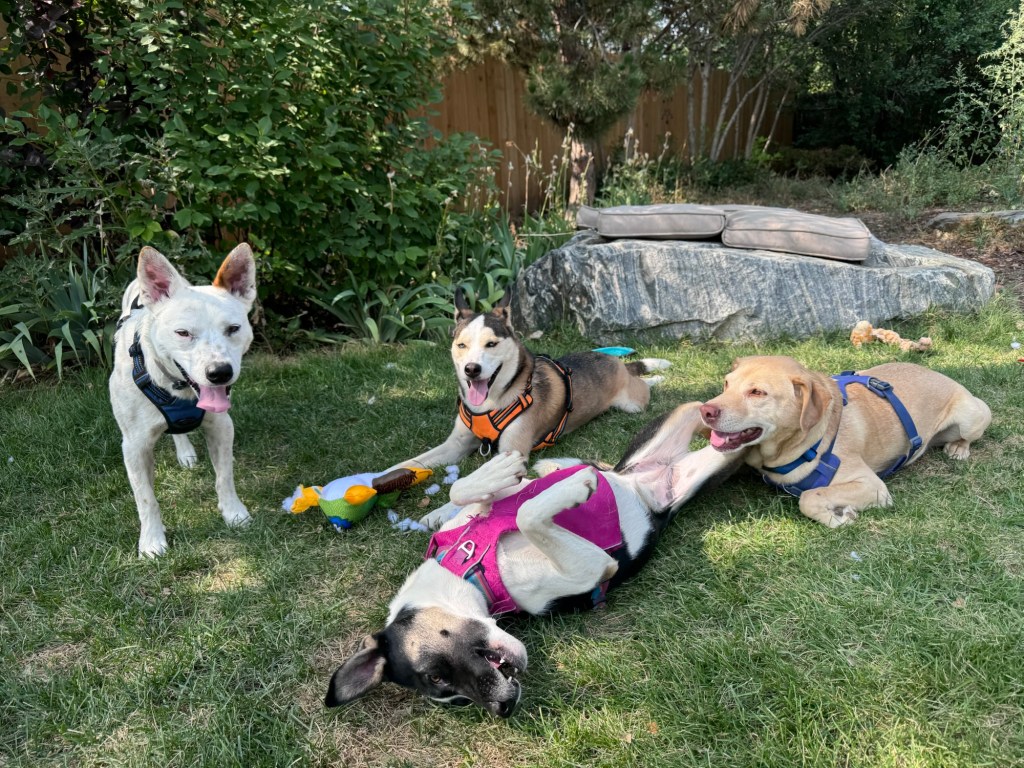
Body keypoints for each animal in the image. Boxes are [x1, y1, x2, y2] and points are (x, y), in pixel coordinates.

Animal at [109, 244, 257, 557]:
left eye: (233, 329)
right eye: (183, 333)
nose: (219, 372)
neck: (178, 389)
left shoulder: (222, 426)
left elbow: (224, 476)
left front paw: (234, 513)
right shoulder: (134, 446)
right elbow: (145, 498)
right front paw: (152, 540)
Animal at [325, 402, 744, 717]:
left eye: (437, 676)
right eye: (452, 695)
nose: (503, 708)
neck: (468, 564)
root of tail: (643, 483)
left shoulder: (494, 504)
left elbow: (473, 492)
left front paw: (500, 473)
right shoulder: (594, 566)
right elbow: (528, 514)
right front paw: (570, 486)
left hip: (688, 424)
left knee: (699, 412)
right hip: (708, 463)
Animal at [395, 289, 670, 470]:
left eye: (491, 344)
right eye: (461, 345)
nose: (471, 369)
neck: (492, 402)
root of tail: (611, 359)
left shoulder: (510, 453)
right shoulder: (455, 444)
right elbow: (407, 464)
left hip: (633, 404)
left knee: (641, 384)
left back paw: (656, 377)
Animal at [699, 355, 992, 527]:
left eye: (758, 392)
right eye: (726, 384)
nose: (705, 411)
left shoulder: (873, 486)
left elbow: (808, 496)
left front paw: (838, 516)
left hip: (972, 415)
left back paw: (958, 448)